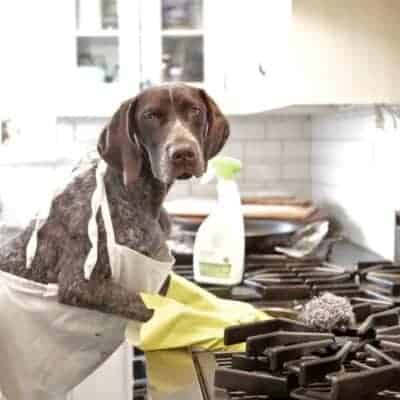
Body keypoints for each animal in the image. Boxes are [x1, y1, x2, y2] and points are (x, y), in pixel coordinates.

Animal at [0, 83, 230, 398]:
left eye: (194, 110)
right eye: (150, 116)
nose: (183, 153)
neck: (136, 192)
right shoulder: (80, 284)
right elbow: (153, 306)